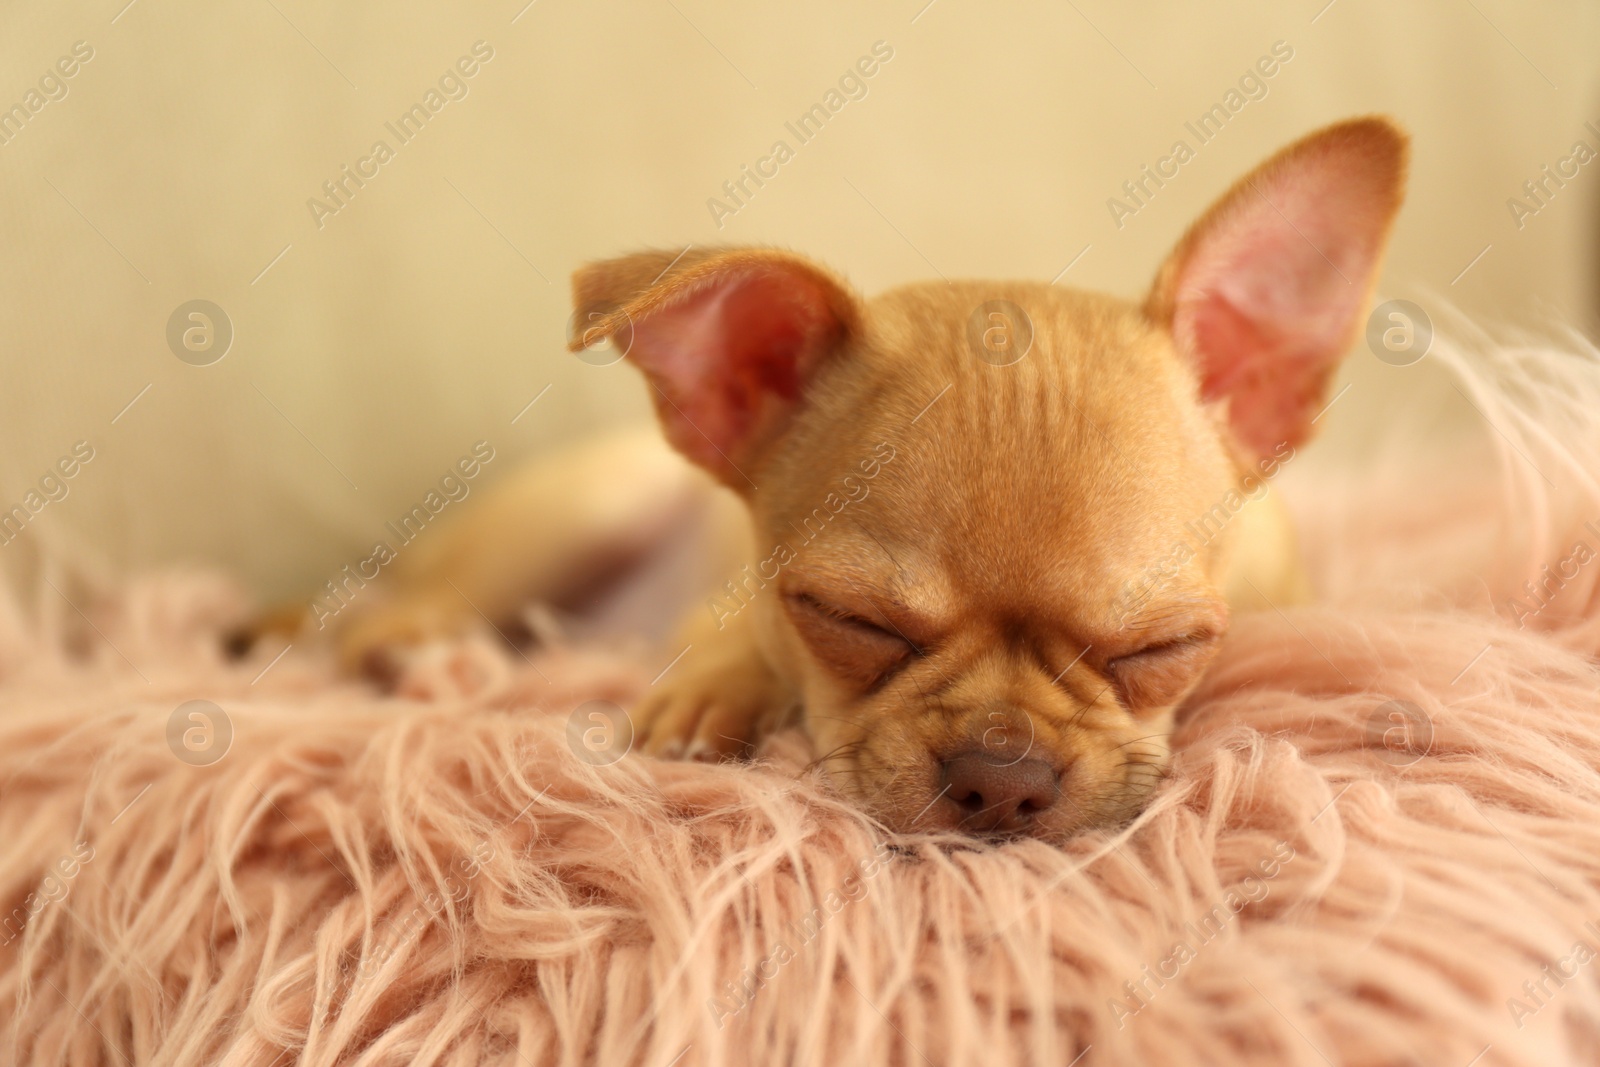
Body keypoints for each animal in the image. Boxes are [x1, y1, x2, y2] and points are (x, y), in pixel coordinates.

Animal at [321, 119, 1401, 844]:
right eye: (848, 618)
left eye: (1163, 647)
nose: (1001, 773)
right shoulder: (741, 594)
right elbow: (727, 640)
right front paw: (707, 699)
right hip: (576, 511)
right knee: (385, 611)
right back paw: (427, 658)